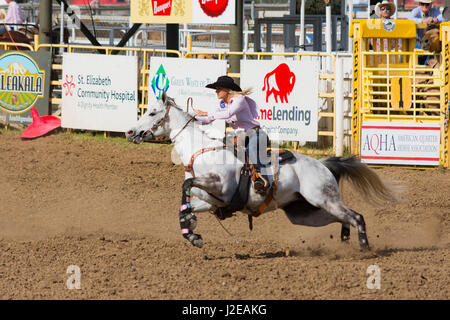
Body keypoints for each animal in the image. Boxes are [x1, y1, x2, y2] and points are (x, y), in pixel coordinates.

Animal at [125, 92, 398, 250]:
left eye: (152, 112)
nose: (129, 131)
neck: (201, 151)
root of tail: (323, 164)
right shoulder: (211, 201)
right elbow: (185, 206)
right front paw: (192, 233)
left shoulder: (221, 187)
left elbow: (186, 186)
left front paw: (191, 228)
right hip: (305, 212)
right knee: (345, 218)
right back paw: (344, 244)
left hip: (323, 198)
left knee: (356, 216)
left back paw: (364, 248)